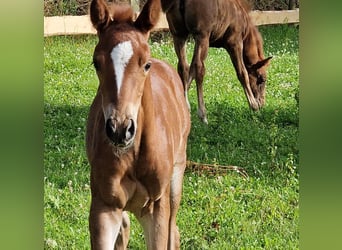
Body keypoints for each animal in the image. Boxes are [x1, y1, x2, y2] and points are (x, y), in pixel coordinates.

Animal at [85, 0, 191, 248]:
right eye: (96, 63)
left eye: (146, 64)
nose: (120, 130)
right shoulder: (104, 207)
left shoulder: (156, 207)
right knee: (125, 228)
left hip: (176, 179)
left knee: (174, 230)